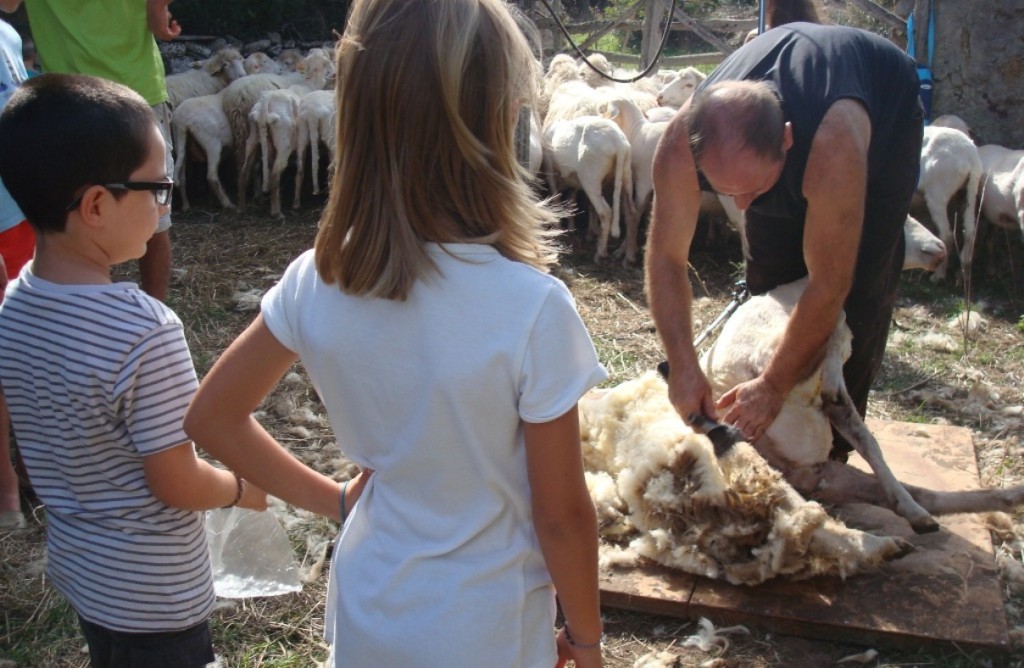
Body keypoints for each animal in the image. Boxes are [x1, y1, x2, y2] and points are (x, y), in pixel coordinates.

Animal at [544, 116, 630, 262]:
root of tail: (618, 141)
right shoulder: (573, 181)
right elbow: (571, 201)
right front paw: (571, 228)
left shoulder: (551, 172)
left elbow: (556, 197)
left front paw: (558, 227)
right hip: (625, 174)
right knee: (632, 212)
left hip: (590, 176)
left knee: (606, 212)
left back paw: (600, 252)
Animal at [917, 126, 978, 282]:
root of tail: (971, 158)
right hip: (968, 193)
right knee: (969, 232)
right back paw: (962, 274)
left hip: (937, 194)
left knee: (947, 235)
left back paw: (938, 275)